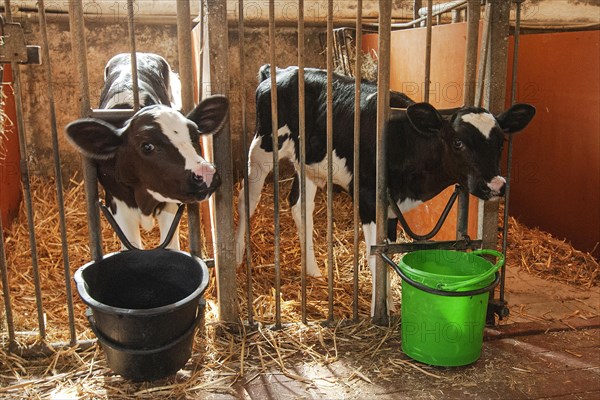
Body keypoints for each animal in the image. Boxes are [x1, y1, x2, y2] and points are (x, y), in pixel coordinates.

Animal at [67, 51, 229, 248]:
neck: (144, 201)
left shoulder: (169, 205)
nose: (206, 173)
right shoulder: (118, 205)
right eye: (147, 146)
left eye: (194, 135)